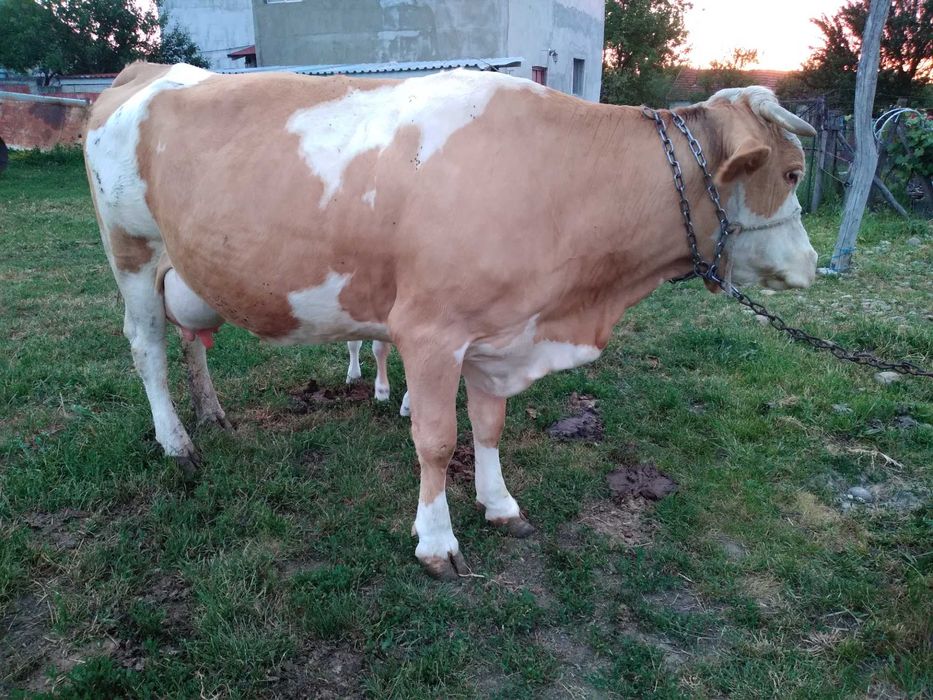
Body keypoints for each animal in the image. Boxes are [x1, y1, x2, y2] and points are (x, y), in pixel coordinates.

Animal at [85, 62, 817, 579]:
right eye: (790, 172)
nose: (812, 264)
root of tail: (149, 70)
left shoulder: (501, 332)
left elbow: (488, 428)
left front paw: (500, 505)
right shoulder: (429, 332)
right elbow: (436, 442)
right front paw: (435, 541)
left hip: (185, 269)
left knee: (193, 342)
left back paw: (211, 414)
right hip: (131, 254)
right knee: (147, 349)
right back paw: (178, 443)